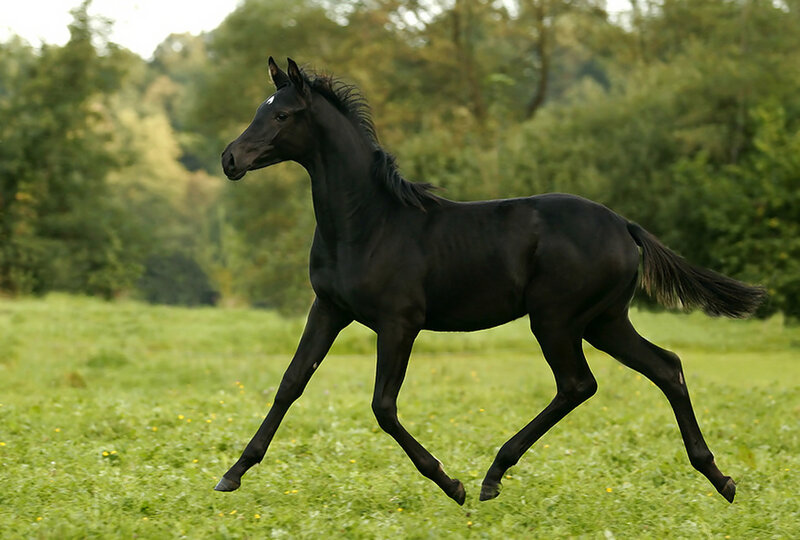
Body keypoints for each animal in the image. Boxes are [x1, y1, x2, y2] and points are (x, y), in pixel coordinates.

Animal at [217, 57, 764, 505]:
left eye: (282, 116)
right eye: (261, 109)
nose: (230, 159)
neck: (368, 223)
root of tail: (624, 225)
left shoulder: (399, 322)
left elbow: (383, 406)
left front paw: (449, 483)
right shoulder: (329, 309)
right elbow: (290, 383)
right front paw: (233, 473)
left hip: (557, 319)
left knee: (578, 384)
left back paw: (491, 476)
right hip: (604, 321)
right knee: (665, 367)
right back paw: (720, 478)